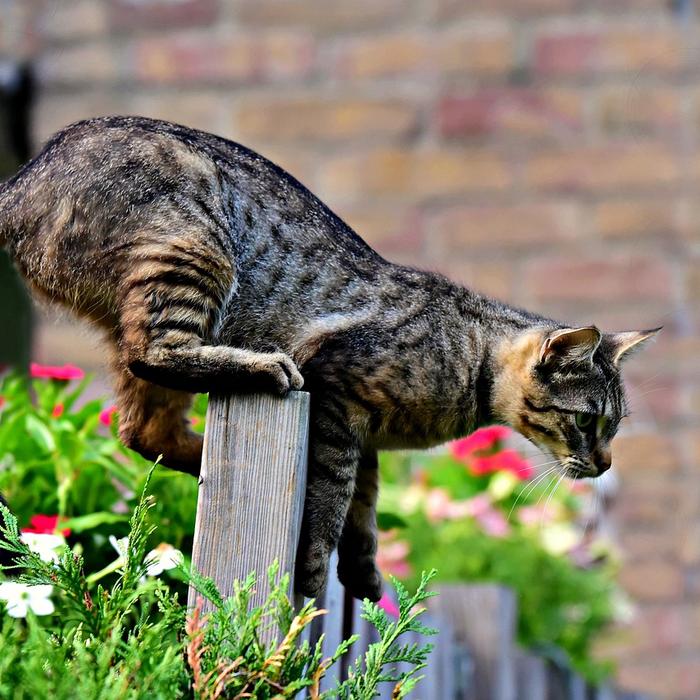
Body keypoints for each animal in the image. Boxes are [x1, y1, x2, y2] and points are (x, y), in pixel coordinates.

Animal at [0, 117, 656, 600]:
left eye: (613, 426)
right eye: (588, 421)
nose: (604, 464)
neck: (470, 360)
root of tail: (20, 181)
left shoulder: (365, 438)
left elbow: (364, 510)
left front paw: (363, 572)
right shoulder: (339, 399)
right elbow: (329, 503)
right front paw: (314, 572)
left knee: (142, 429)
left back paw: (203, 459)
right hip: (190, 251)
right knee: (156, 355)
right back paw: (261, 369)